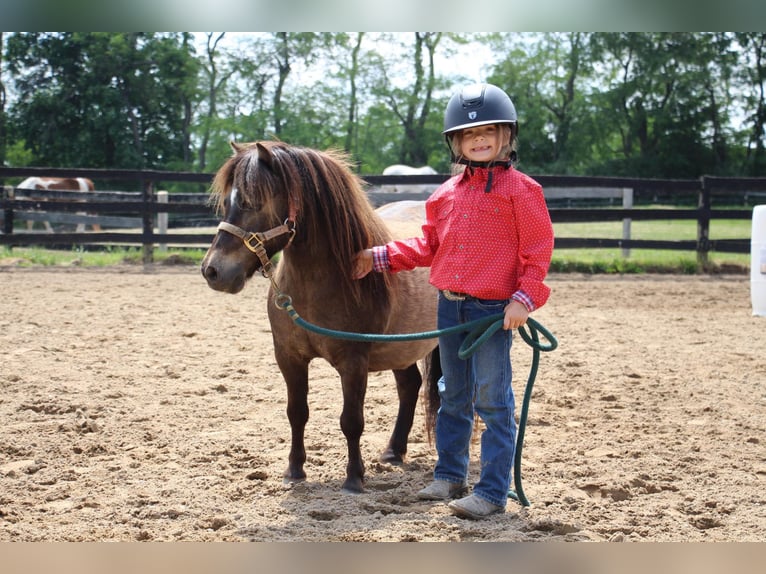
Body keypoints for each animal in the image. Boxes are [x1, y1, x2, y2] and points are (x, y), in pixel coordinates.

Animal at [202, 141, 444, 496]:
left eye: (251, 201)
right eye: (228, 200)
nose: (213, 270)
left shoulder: (354, 361)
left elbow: (351, 420)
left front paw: (354, 478)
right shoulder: (288, 357)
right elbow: (296, 412)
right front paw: (294, 470)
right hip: (401, 346)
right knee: (409, 385)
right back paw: (393, 451)